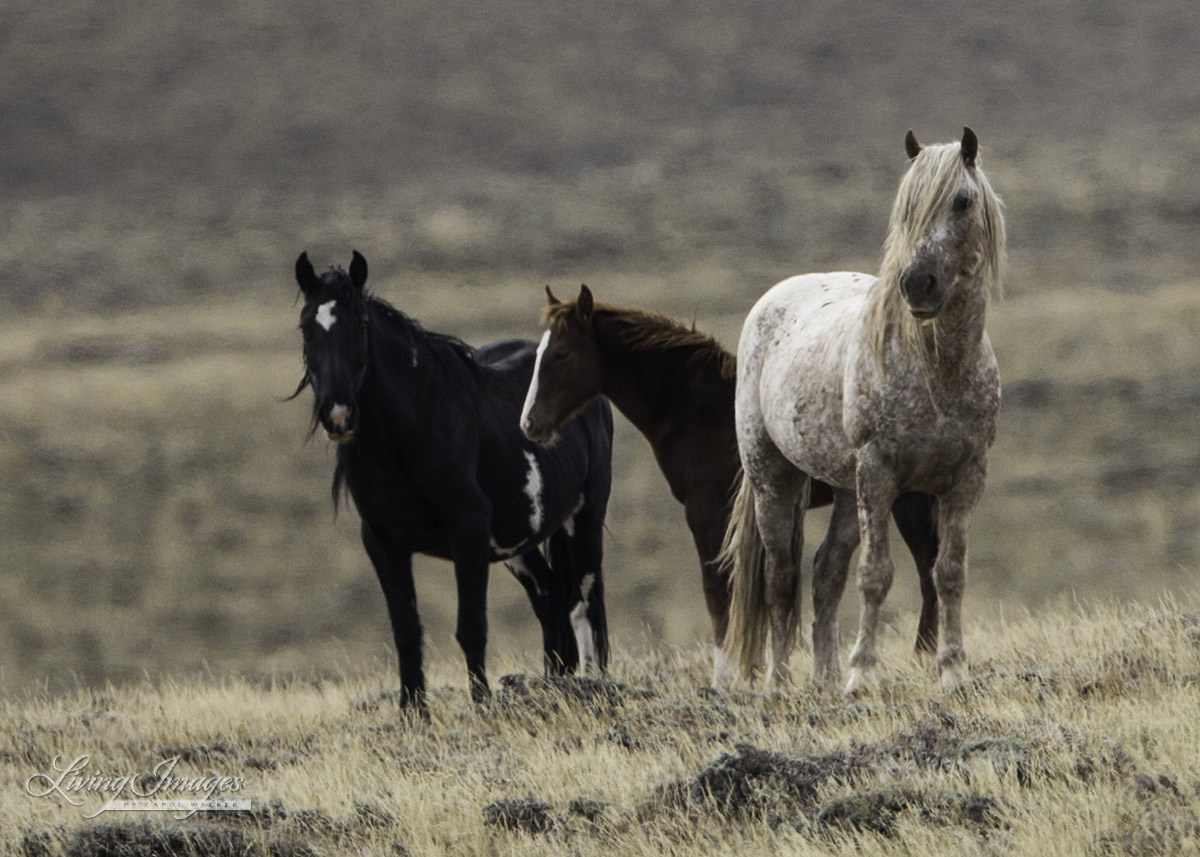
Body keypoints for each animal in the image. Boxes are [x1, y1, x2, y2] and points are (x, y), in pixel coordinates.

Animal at [288, 250, 609, 710]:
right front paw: (412, 713)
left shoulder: (467, 532)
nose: (338, 414)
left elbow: (471, 627)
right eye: (305, 326)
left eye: (360, 324)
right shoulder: (383, 541)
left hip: (584, 516)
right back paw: (553, 683)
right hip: (518, 542)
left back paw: (591, 684)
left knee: (585, 602)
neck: (414, 429)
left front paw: (481, 705)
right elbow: (406, 632)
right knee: (550, 598)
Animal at [724, 128, 1008, 696]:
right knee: (782, 578)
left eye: (962, 201)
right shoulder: (879, 473)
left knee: (825, 572)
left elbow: (949, 572)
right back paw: (781, 682)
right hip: (775, 479)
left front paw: (952, 670)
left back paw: (824, 679)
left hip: (844, 490)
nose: (918, 284)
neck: (936, 371)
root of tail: (773, 299)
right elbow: (876, 575)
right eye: (905, 205)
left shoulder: (965, 477)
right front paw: (863, 675)